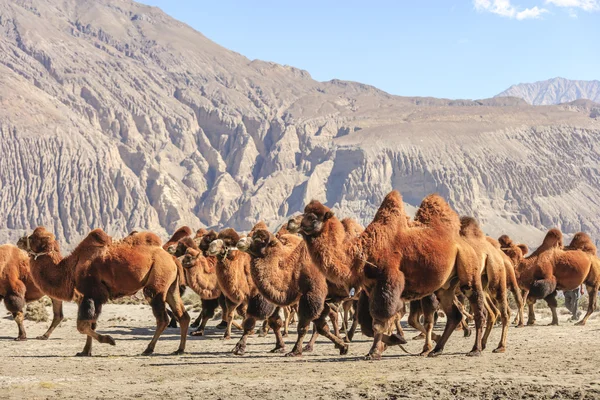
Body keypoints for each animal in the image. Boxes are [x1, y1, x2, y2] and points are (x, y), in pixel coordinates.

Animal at [17, 228, 189, 356]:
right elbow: (91, 324)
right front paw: (85, 351)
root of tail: (172, 259)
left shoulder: (93, 294)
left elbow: (82, 325)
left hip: (156, 282)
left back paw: (148, 349)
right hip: (171, 287)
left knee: (162, 317)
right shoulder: (88, 297)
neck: (70, 268)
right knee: (183, 315)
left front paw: (110, 340)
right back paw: (179, 349)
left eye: (32, 238)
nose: (20, 240)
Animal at [202, 228, 286, 356]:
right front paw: (279, 346)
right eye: (215, 239)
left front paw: (240, 347)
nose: (211, 247)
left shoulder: (259, 297)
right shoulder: (234, 298)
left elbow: (250, 320)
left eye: (227, 243)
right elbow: (231, 314)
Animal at [298, 191, 486, 360]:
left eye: (313, 217)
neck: (364, 252)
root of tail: (463, 242)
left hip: (468, 270)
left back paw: (475, 349)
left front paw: (375, 351)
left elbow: (379, 322)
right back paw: (437, 349)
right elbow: (368, 325)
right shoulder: (370, 288)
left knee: (477, 307)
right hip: (445, 286)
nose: (296, 222)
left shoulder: (388, 281)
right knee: (454, 314)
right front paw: (393, 341)